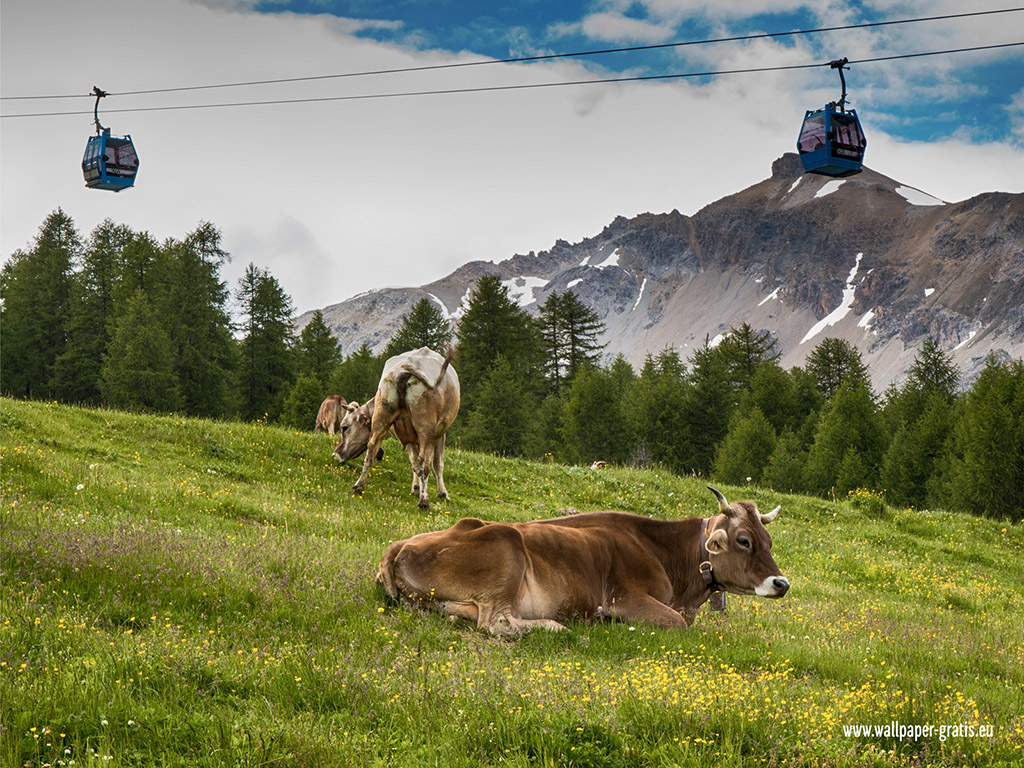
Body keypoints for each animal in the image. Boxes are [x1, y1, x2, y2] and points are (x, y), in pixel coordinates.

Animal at [333, 348, 458, 512]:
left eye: (344, 427)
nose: (336, 454)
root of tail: (406, 370)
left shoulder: (410, 436)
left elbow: (414, 462)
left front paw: (416, 488)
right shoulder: (439, 433)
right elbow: (436, 463)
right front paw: (441, 493)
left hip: (383, 414)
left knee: (371, 448)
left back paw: (359, 487)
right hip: (426, 428)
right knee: (424, 462)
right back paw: (424, 502)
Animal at [380, 487, 786, 638]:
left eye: (768, 541)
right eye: (744, 540)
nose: (781, 584)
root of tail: (400, 543)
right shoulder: (627, 597)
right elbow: (673, 622)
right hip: (506, 547)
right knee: (497, 623)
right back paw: (555, 626)